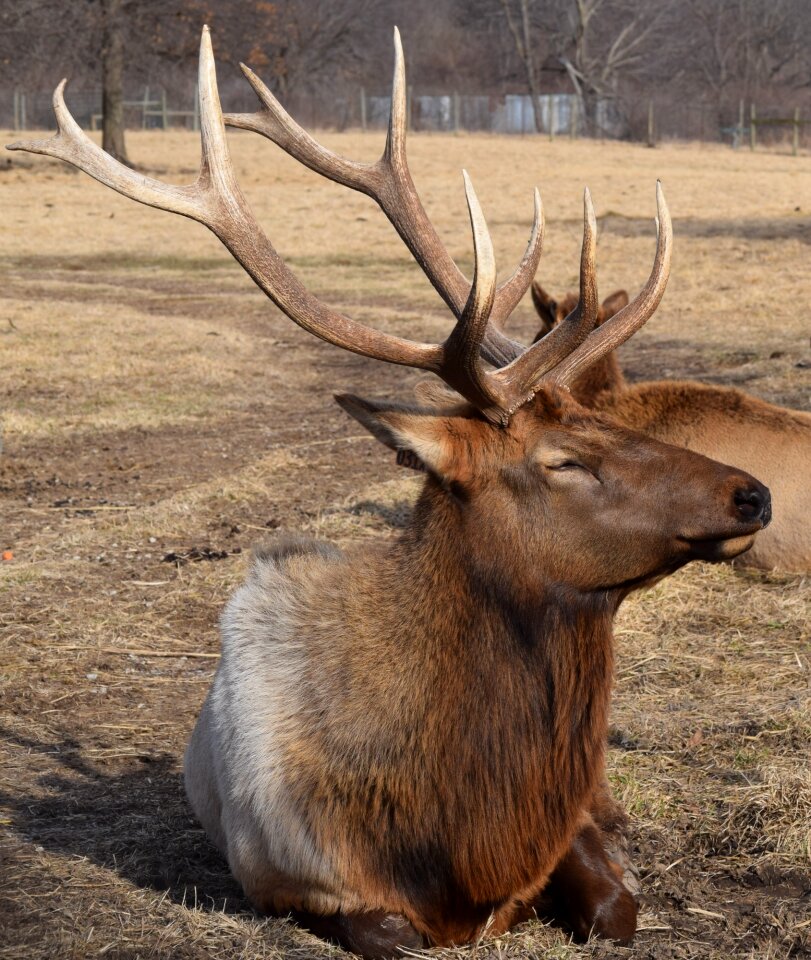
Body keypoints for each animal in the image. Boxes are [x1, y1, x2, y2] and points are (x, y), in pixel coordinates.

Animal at [11, 26, 772, 956]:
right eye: (562, 460)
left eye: (607, 419)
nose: (751, 494)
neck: (454, 838)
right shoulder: (291, 880)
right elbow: (393, 932)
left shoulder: (565, 832)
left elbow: (612, 911)